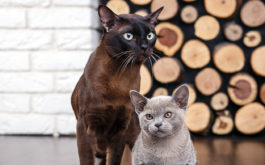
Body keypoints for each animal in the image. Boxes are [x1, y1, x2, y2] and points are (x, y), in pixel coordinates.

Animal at [70, 5, 161, 165]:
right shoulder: (85, 125)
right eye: (128, 36)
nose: (145, 47)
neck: (120, 76)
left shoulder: (120, 128)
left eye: (150, 36)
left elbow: (114, 159)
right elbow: (86, 159)